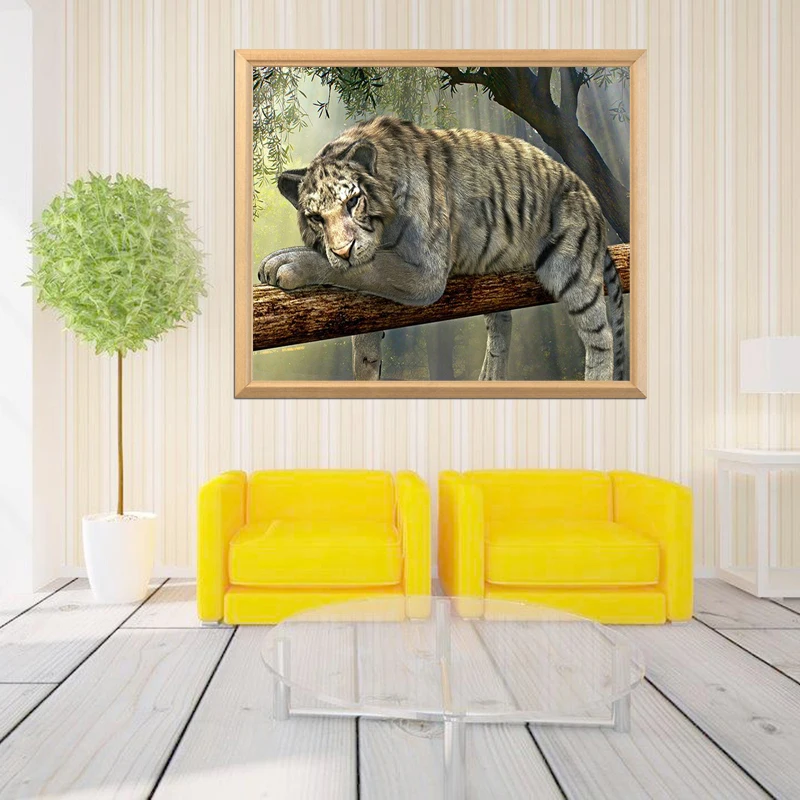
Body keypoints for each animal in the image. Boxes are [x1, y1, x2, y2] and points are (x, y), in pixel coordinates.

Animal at [258, 115, 626, 381]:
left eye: (352, 201)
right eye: (316, 217)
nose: (343, 250)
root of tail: (588, 193)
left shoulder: (425, 275)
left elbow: (367, 268)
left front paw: (286, 263)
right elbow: (364, 339)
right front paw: (367, 370)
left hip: (572, 271)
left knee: (601, 338)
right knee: (502, 322)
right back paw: (490, 378)